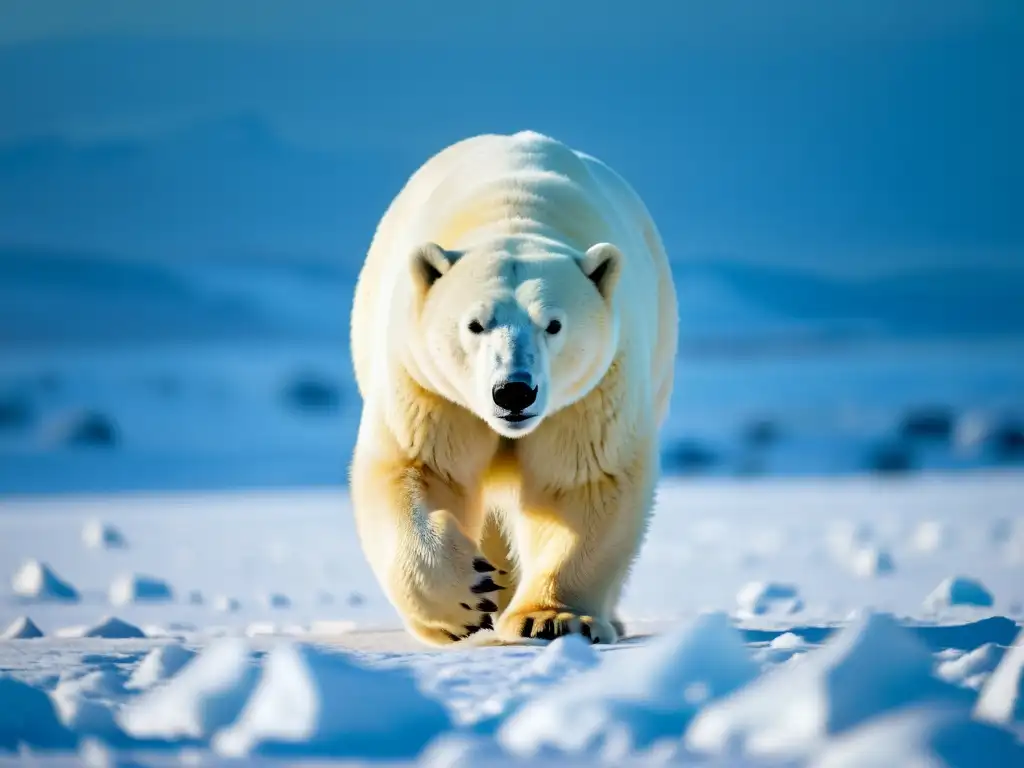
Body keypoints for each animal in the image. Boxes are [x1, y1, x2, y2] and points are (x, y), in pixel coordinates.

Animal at [348, 131, 675, 643]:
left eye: (554, 324)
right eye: (475, 324)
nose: (514, 392)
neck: (512, 213)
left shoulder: (591, 392)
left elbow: (582, 482)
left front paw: (552, 618)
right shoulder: (427, 385)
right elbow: (418, 467)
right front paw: (465, 600)